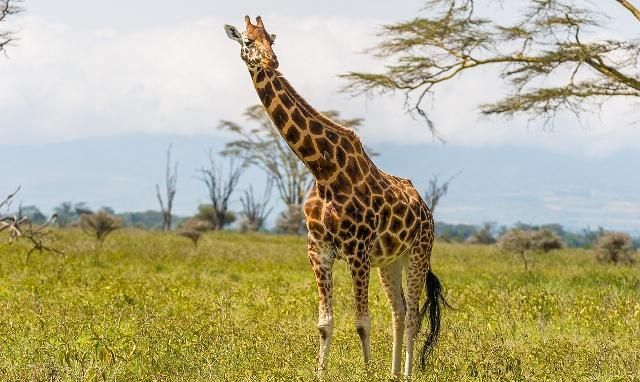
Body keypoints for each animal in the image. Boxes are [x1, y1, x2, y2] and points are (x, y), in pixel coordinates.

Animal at [225, 15, 450, 380]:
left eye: (272, 39)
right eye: (247, 41)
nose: (272, 61)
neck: (322, 169)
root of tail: (426, 209)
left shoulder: (358, 250)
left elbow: (362, 322)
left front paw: (367, 372)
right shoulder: (319, 250)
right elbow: (325, 323)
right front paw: (321, 371)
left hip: (419, 252)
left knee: (414, 316)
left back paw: (406, 373)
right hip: (390, 261)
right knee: (399, 312)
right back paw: (392, 373)